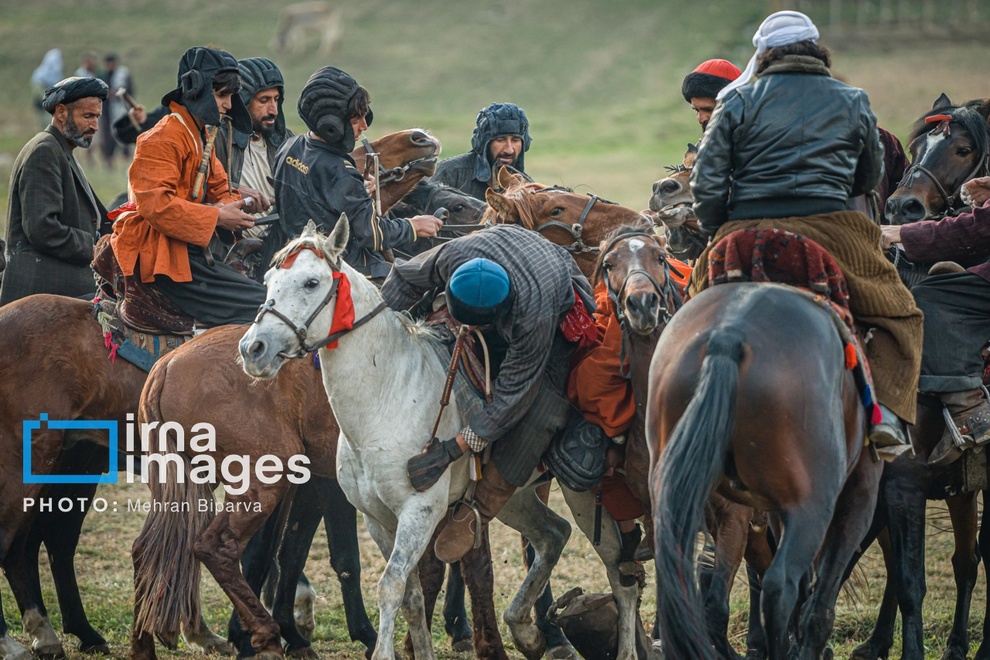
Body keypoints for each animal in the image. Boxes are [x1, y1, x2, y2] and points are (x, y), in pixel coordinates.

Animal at [0, 129, 442, 660]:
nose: (421, 139)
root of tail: (166, 368)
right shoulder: (324, 480)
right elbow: (325, 555)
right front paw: (323, 631)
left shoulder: (310, 480)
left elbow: (285, 551)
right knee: (22, 541)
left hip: (85, 462)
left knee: (99, 545)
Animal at [239, 220, 644, 660]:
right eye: (268, 280)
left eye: (312, 282)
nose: (253, 348)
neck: (385, 398)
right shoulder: (377, 519)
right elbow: (412, 598)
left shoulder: (419, 512)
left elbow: (391, 586)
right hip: (515, 498)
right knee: (553, 535)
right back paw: (526, 630)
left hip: (585, 494)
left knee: (620, 575)